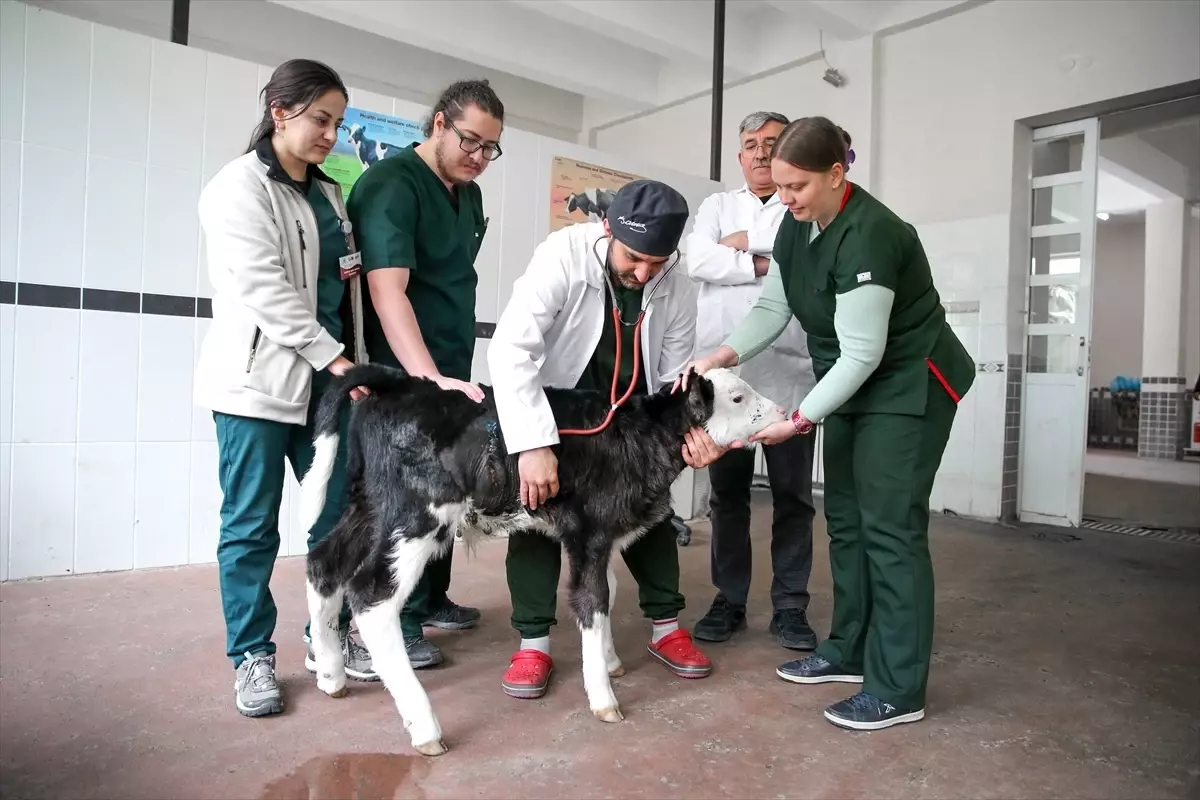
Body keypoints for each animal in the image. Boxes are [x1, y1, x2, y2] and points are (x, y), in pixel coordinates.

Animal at [298, 362, 782, 758]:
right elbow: (592, 600)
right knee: (371, 597)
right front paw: (603, 697)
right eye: (738, 398)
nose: (782, 412)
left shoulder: (602, 538)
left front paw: (610, 661)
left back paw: (331, 675)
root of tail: (399, 383)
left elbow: (608, 592)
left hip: (370, 506)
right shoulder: (589, 531)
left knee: (324, 564)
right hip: (417, 516)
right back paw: (425, 728)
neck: (642, 437)